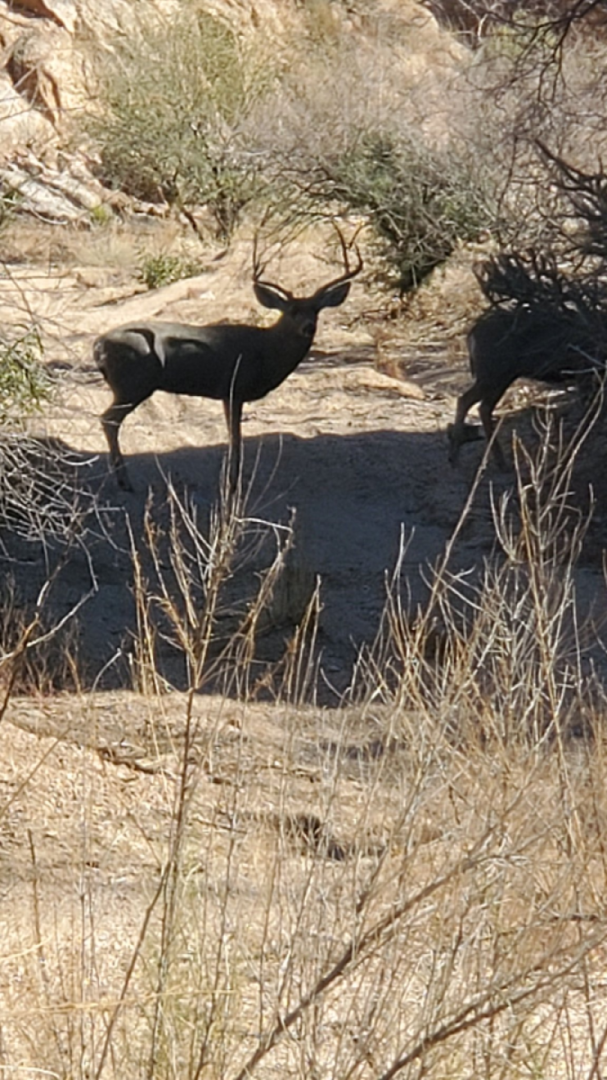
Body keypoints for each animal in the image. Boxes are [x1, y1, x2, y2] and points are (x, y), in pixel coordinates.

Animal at [93, 243, 358, 492]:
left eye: (316, 310)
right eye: (292, 311)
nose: (308, 327)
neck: (266, 350)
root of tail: (99, 344)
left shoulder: (226, 393)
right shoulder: (234, 387)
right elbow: (236, 439)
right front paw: (233, 483)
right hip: (132, 384)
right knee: (109, 420)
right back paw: (124, 481)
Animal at [442, 306, 600, 470]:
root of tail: (471, 335)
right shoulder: (584, 369)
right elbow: (588, 407)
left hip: (500, 376)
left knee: (481, 406)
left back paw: (496, 461)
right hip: (494, 373)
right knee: (468, 400)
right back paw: (457, 457)